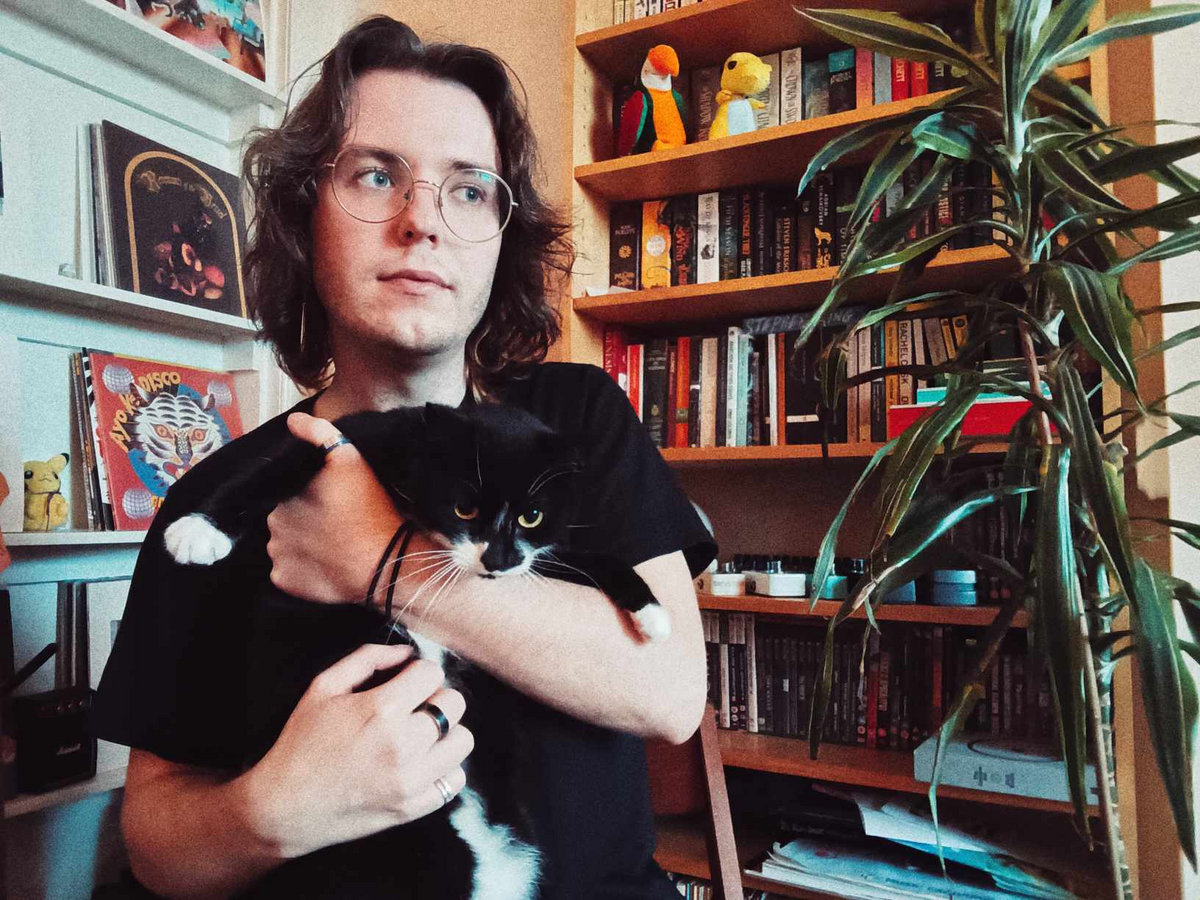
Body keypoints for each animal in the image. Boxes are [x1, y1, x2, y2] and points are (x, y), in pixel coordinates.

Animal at [159, 401, 671, 900]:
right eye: (464, 508)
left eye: (532, 516)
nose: (497, 560)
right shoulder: (352, 434)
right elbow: (281, 462)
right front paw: (199, 531)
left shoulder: (533, 559)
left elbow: (575, 559)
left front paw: (650, 610)